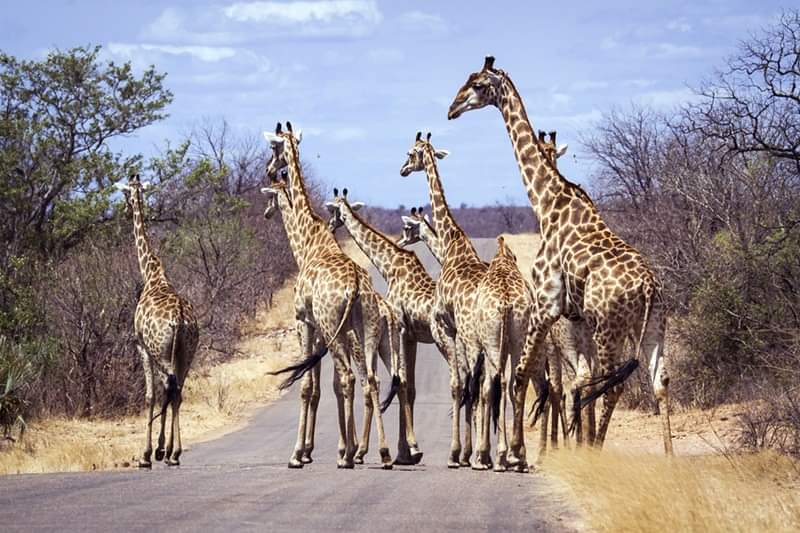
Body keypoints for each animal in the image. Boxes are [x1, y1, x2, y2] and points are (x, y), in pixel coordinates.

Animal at [262, 122, 394, 468]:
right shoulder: (326, 331)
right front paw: (326, 448)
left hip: (335, 327)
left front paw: (300, 453)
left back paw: (350, 456)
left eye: (273, 148)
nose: (269, 170)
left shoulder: (305, 323)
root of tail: (356, 284)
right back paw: (384, 453)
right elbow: (325, 386)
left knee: (350, 377)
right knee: (371, 379)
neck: (309, 242)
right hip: (365, 328)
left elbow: (309, 384)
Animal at [324, 187, 456, 466]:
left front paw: (405, 451)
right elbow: (409, 386)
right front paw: (408, 451)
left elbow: (400, 382)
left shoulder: (402, 329)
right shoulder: (411, 335)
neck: (391, 267)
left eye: (333, 210)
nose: (330, 225)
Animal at [398, 133, 532, 470]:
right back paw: (514, 455)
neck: (452, 248)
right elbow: (473, 388)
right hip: (514, 337)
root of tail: (508, 301)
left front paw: (458, 453)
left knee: (488, 386)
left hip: (486, 341)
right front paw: (471, 452)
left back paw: (491, 455)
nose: (402, 169)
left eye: (411, 153)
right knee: (511, 383)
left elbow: (459, 386)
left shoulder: (449, 330)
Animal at [446, 57, 672, 458]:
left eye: (476, 84)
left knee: (613, 384)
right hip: (654, 325)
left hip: (610, 327)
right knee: (659, 381)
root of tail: (648, 288)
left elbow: (522, 376)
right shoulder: (575, 316)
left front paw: (516, 452)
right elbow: (568, 382)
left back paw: (594, 451)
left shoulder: (546, 303)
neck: (547, 201)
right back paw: (670, 458)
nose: (451, 109)